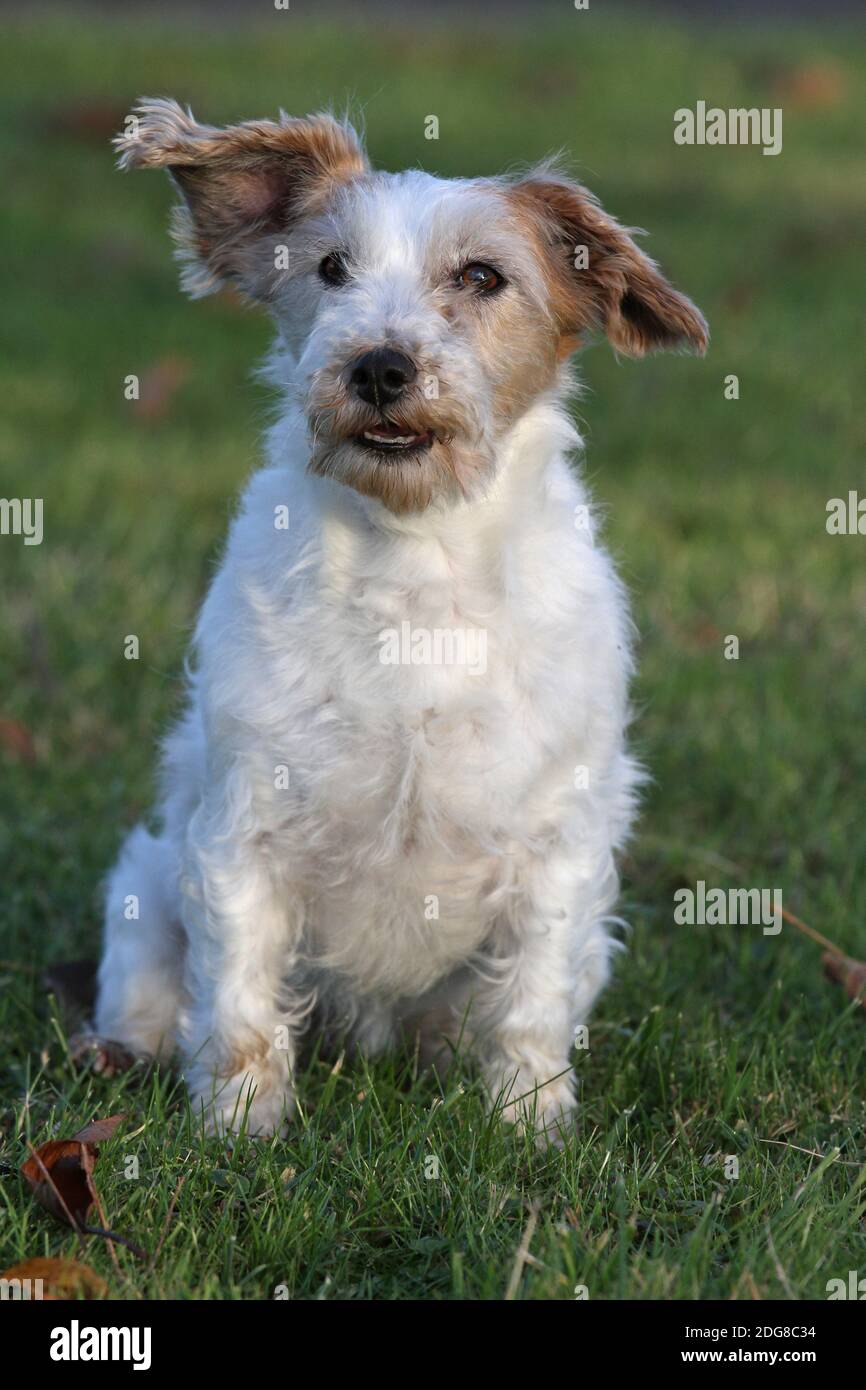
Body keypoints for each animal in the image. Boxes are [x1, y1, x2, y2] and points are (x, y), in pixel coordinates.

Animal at [94, 97, 708, 1139]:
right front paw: (238, 1128)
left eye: (483, 276)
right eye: (331, 268)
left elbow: (531, 997)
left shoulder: (560, 842)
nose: (380, 365)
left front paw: (528, 1127)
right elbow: (239, 997)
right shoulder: (242, 830)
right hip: (144, 885)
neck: (415, 564)